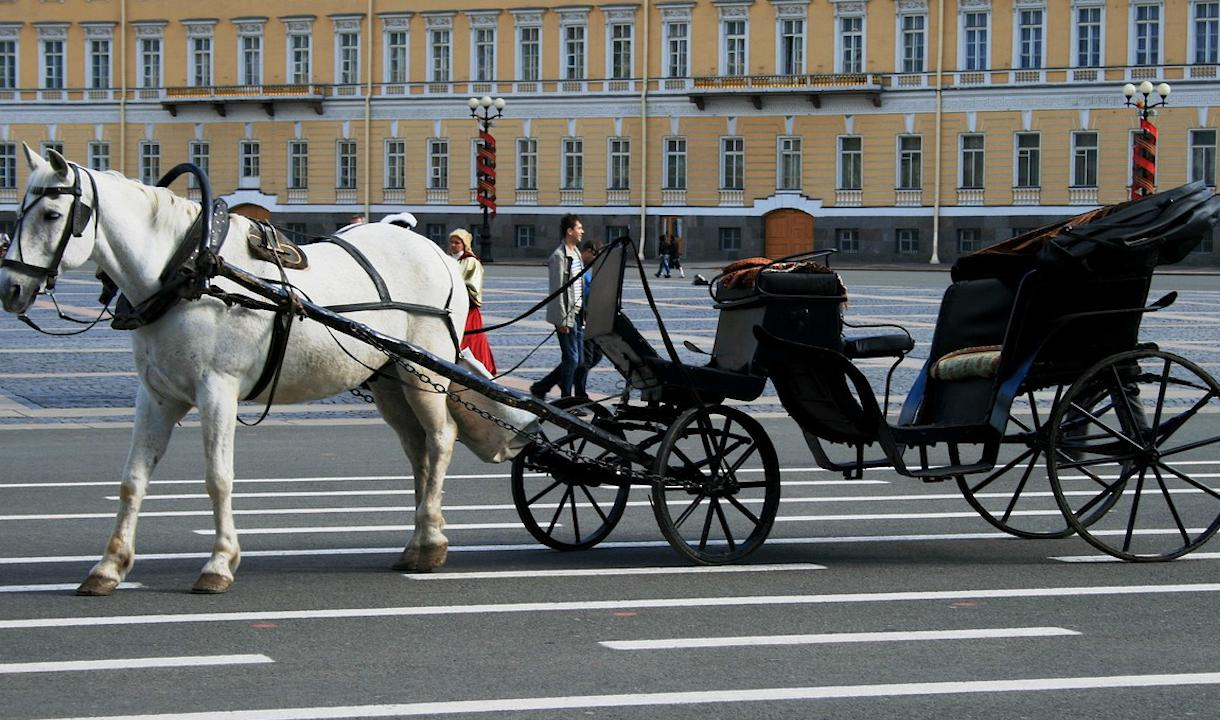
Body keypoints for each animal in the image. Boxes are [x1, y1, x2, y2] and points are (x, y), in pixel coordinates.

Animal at [0, 145, 468, 593]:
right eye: (18, 210)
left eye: (51, 213)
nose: (11, 288)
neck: (189, 273)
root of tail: (436, 252)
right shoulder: (156, 395)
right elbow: (133, 478)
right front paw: (109, 567)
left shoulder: (217, 391)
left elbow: (218, 478)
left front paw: (220, 563)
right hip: (390, 380)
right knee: (417, 449)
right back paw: (417, 541)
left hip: (424, 373)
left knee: (442, 437)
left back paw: (431, 542)